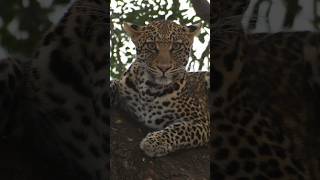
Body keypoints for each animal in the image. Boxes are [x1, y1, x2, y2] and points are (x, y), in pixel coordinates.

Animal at [110, 20, 210, 157]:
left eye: (176, 46)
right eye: (151, 45)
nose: (164, 67)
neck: (150, 90)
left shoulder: (200, 121)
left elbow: (178, 129)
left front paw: (154, 143)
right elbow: (112, 84)